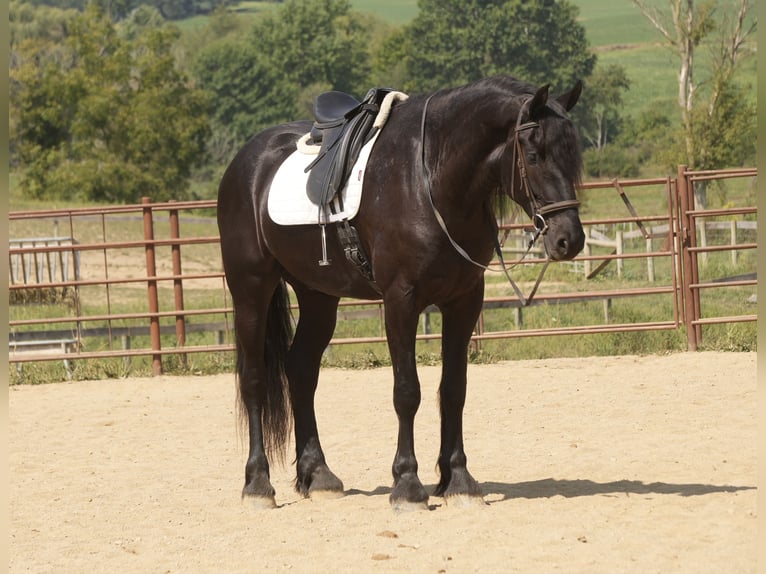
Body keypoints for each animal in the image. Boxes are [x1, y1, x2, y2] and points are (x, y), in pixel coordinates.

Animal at [217, 75, 586, 510]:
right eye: (533, 154)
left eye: (572, 154)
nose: (569, 240)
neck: (431, 182)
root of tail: (247, 161)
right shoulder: (401, 301)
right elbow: (407, 391)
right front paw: (408, 484)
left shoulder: (464, 300)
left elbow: (454, 389)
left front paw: (458, 480)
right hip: (251, 289)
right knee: (255, 379)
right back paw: (258, 484)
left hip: (318, 297)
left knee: (301, 371)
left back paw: (318, 475)